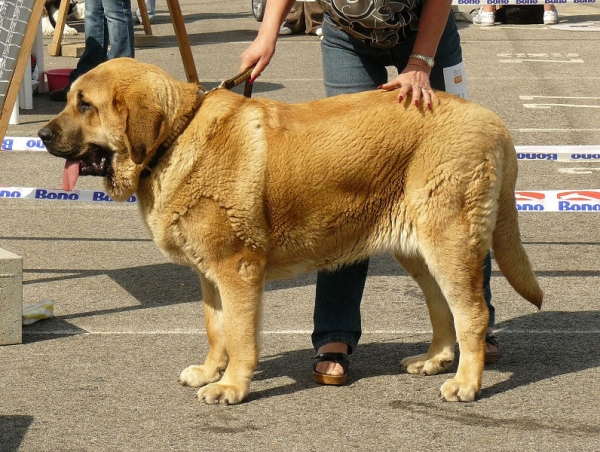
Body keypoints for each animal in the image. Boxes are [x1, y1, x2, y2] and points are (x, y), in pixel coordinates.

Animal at [38, 58, 544, 404]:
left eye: (85, 105)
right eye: (70, 100)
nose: (42, 135)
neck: (173, 139)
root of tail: (492, 121)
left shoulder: (237, 271)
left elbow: (240, 335)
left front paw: (231, 387)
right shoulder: (208, 273)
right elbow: (215, 328)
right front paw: (210, 372)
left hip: (449, 242)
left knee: (472, 314)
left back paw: (465, 382)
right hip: (418, 250)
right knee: (442, 307)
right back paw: (434, 360)